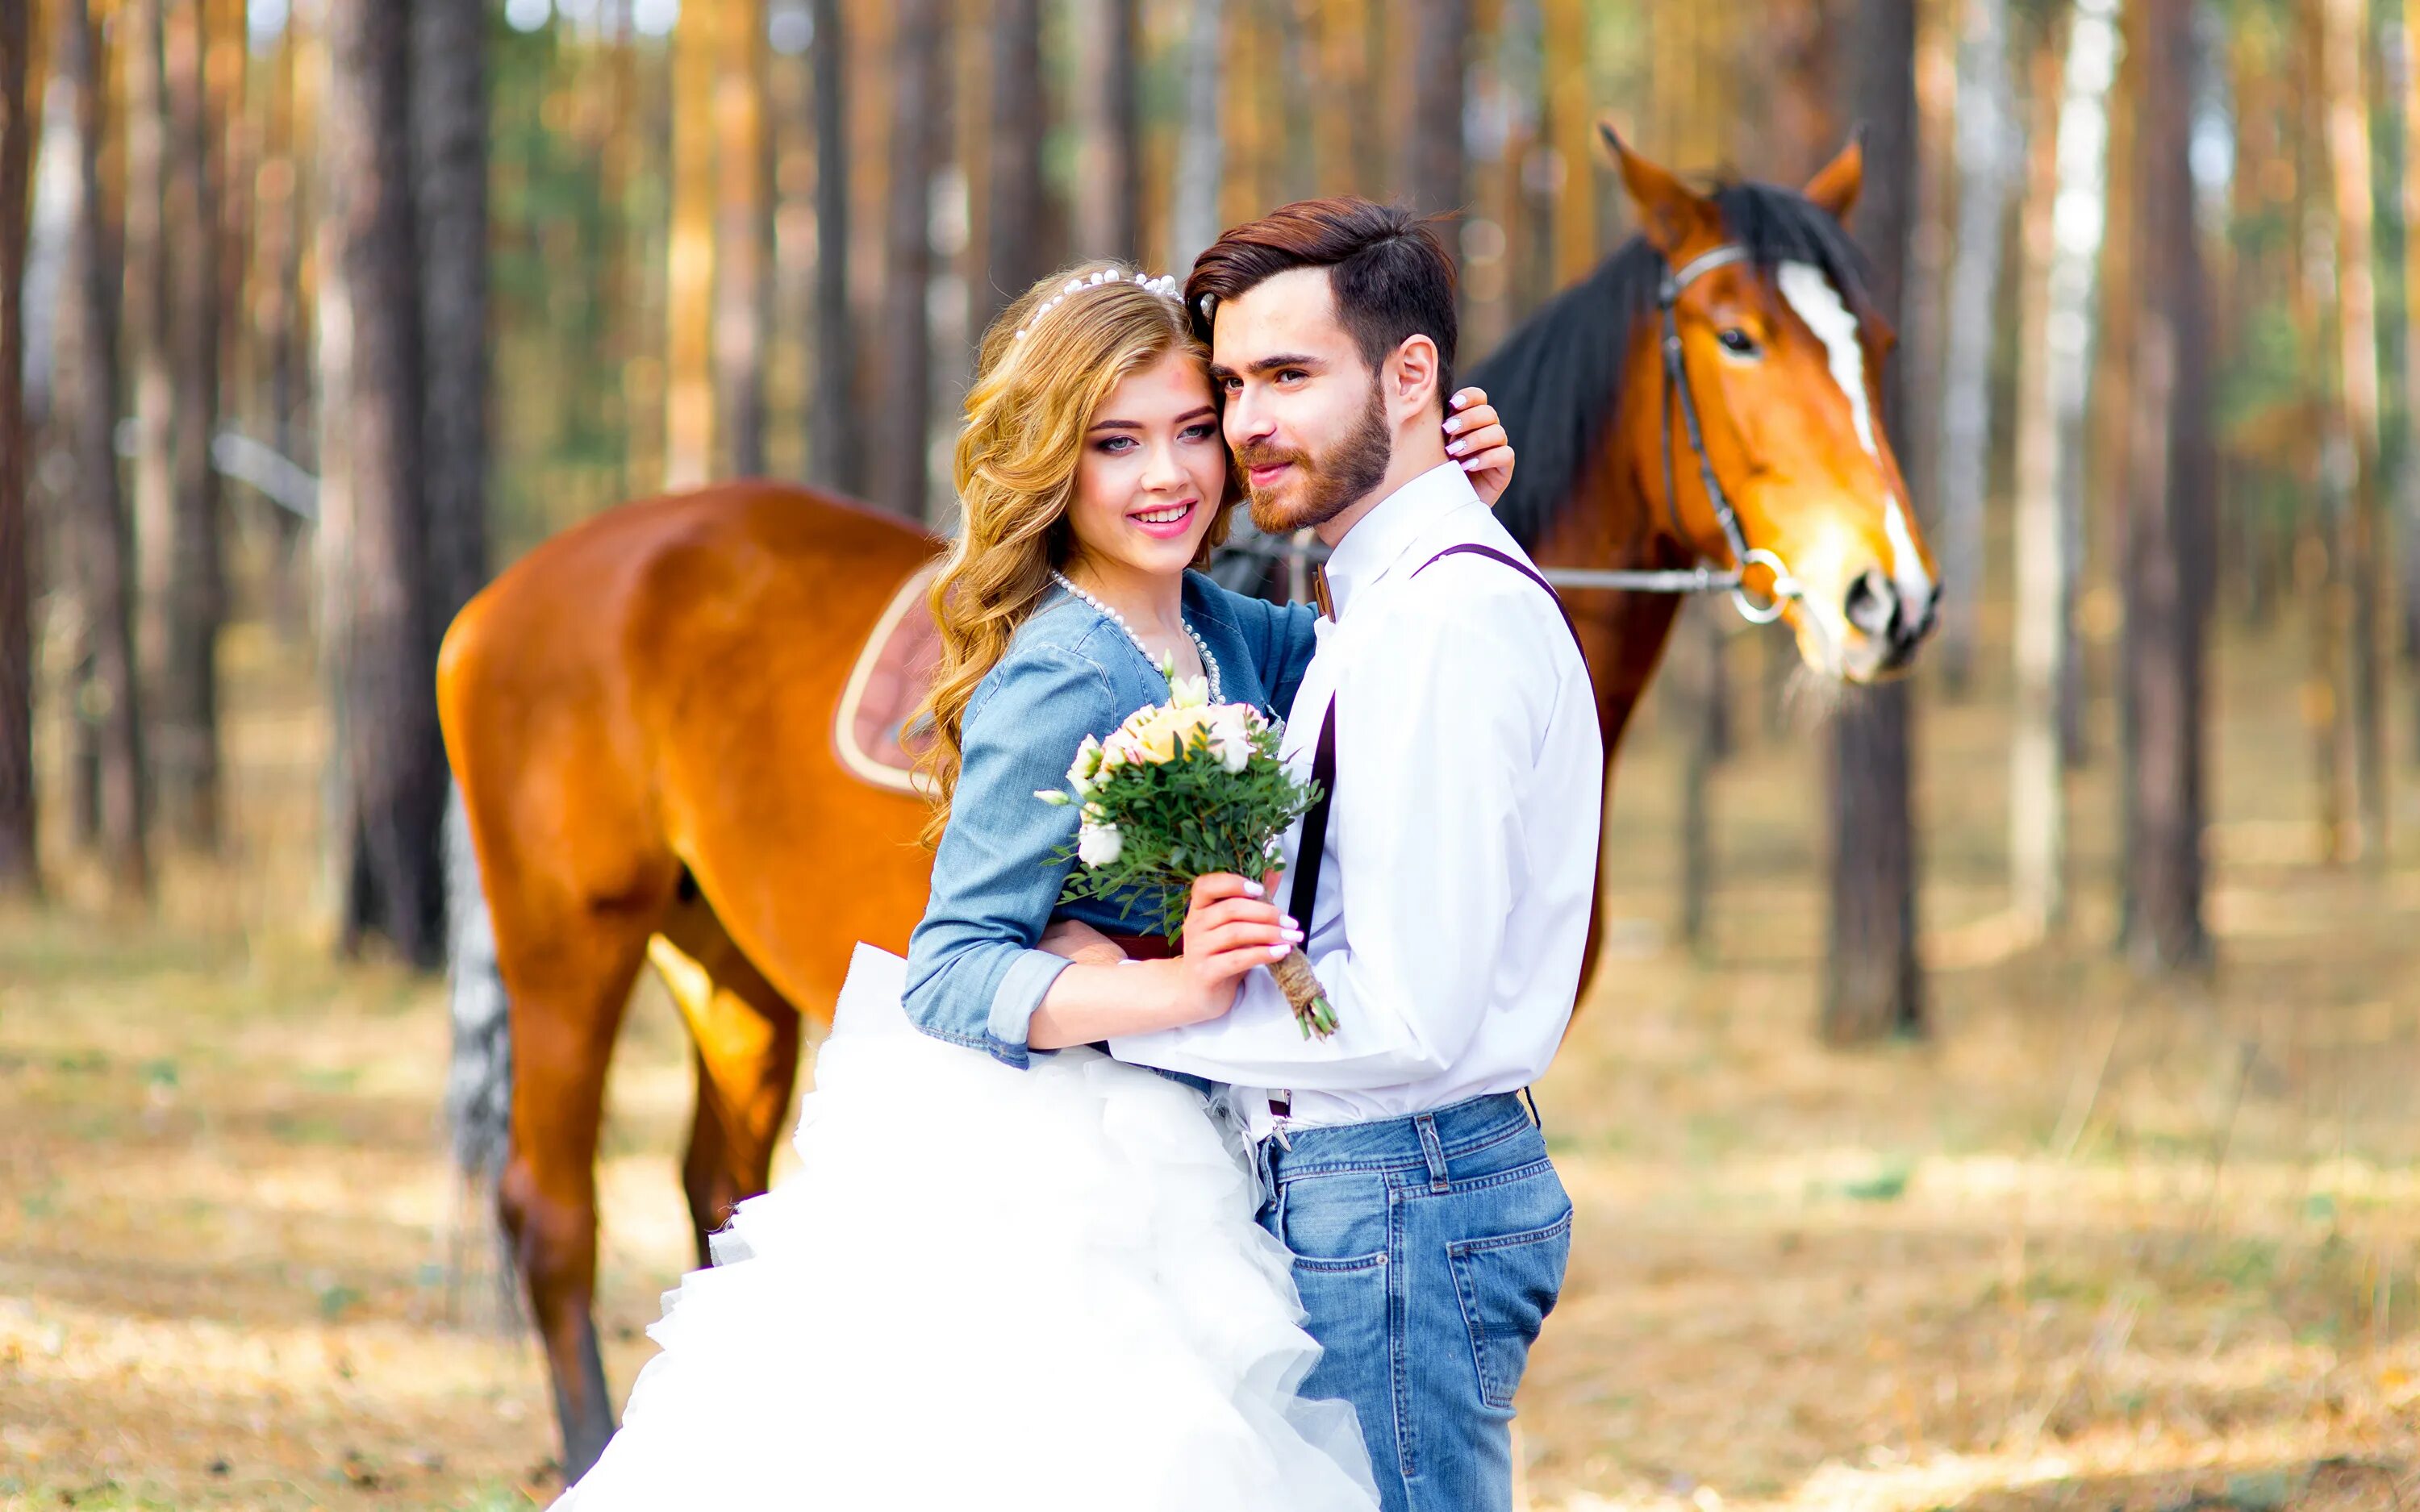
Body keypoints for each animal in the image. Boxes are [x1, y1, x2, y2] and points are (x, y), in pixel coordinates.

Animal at [445, 129, 1936, 1471]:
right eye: (1738, 339)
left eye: (1874, 340)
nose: (1889, 595)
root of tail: (511, 590)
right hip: (570, 942)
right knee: (551, 1212)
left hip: (725, 966)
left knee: (716, 1189)